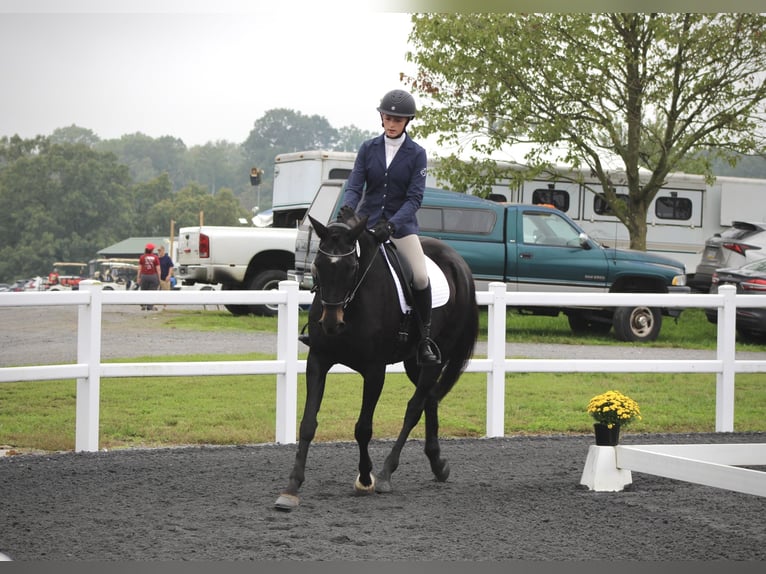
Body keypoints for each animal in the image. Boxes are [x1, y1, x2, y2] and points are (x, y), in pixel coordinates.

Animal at [276, 212, 480, 512]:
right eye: (318, 265)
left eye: (351, 267)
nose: (331, 324)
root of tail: (459, 263)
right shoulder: (318, 361)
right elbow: (308, 424)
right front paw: (291, 488)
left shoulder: (374, 370)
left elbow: (363, 428)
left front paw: (365, 479)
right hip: (415, 363)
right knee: (430, 399)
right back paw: (437, 463)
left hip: (433, 357)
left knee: (414, 408)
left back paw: (385, 473)